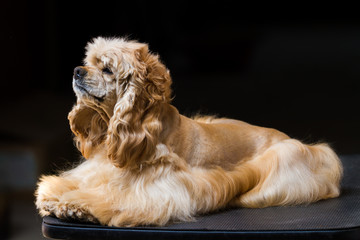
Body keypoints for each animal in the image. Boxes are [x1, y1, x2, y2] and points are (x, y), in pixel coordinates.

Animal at [35, 36, 344, 226]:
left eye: (107, 69)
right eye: (88, 62)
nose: (77, 71)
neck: (145, 129)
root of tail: (292, 139)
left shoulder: (159, 188)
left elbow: (113, 197)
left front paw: (77, 206)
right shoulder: (100, 170)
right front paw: (54, 195)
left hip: (285, 160)